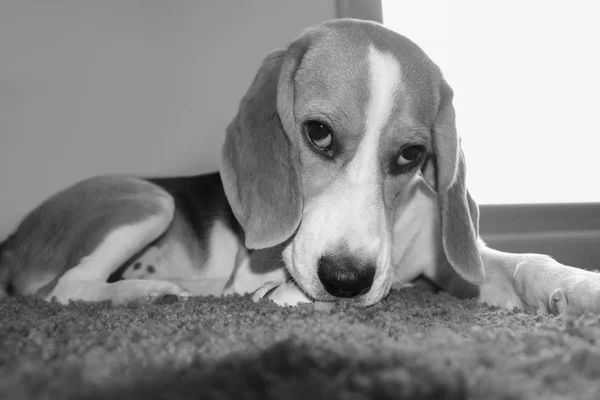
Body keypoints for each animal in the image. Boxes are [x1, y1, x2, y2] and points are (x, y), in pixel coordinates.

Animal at [1, 18, 600, 314]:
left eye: (411, 156)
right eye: (317, 132)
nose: (346, 281)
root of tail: (11, 240)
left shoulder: (451, 260)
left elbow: (522, 263)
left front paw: (576, 288)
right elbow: (284, 289)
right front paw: (286, 294)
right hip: (151, 198)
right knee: (69, 287)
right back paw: (151, 292)